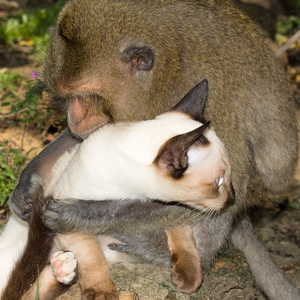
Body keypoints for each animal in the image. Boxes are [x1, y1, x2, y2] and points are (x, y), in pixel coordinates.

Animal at [0, 80, 234, 300]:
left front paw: (188, 277)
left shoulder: (169, 207)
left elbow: (181, 235)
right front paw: (103, 293)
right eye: (219, 181)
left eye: (227, 178)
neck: (133, 193)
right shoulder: (65, 218)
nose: (233, 198)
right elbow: (92, 258)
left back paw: (63, 269)